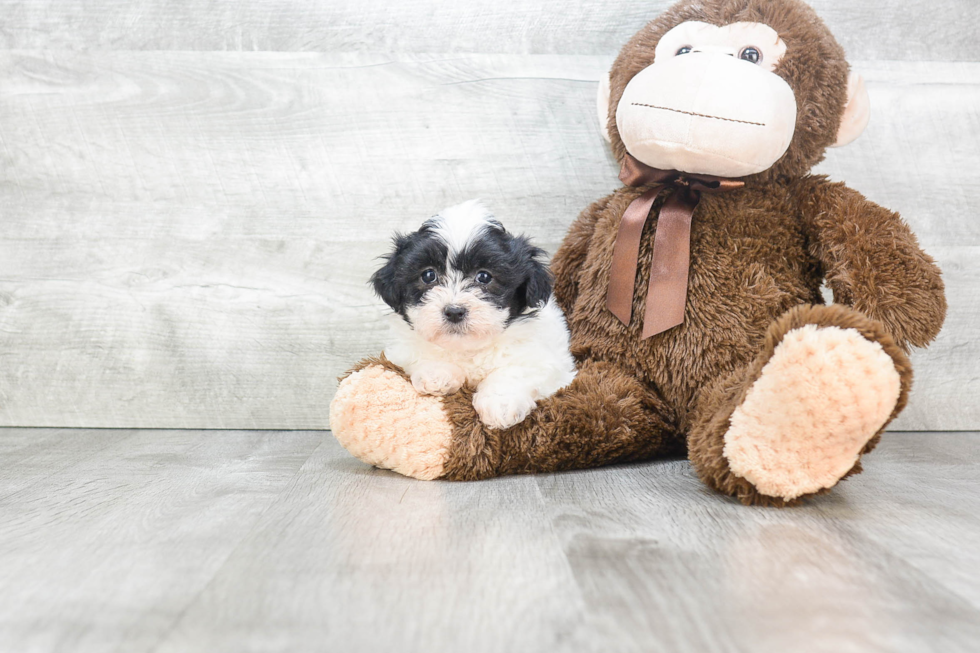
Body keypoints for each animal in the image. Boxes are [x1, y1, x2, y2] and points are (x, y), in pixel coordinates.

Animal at [372, 201, 580, 430]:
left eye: (484, 277)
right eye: (428, 275)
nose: (454, 312)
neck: (467, 349)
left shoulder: (547, 362)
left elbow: (514, 371)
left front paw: (500, 404)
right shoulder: (401, 352)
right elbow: (420, 353)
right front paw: (436, 373)